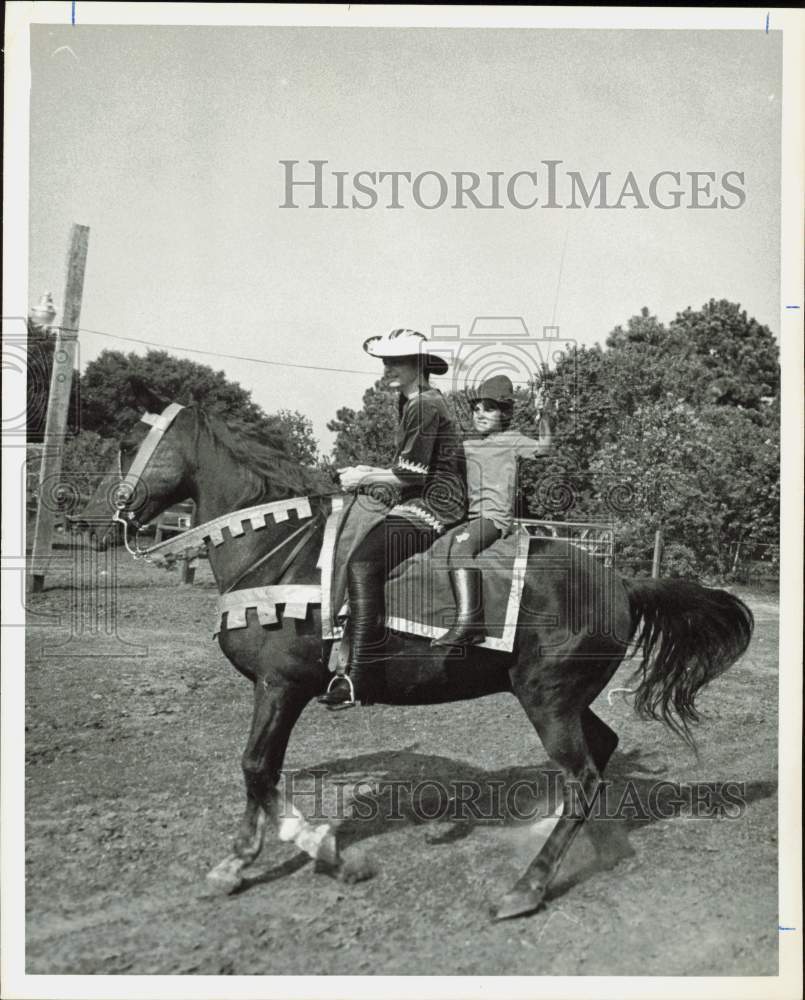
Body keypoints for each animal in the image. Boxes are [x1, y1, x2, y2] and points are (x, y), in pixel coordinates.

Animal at [75, 384, 752, 920]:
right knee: (601, 753)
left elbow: (256, 767)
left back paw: (525, 888)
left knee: (583, 776)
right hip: (562, 696)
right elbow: (258, 772)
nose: (94, 518)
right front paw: (237, 862)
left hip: (548, 700)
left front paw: (325, 853)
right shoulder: (277, 691)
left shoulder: (281, 685)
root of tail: (620, 584)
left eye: (137, 444)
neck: (279, 550)